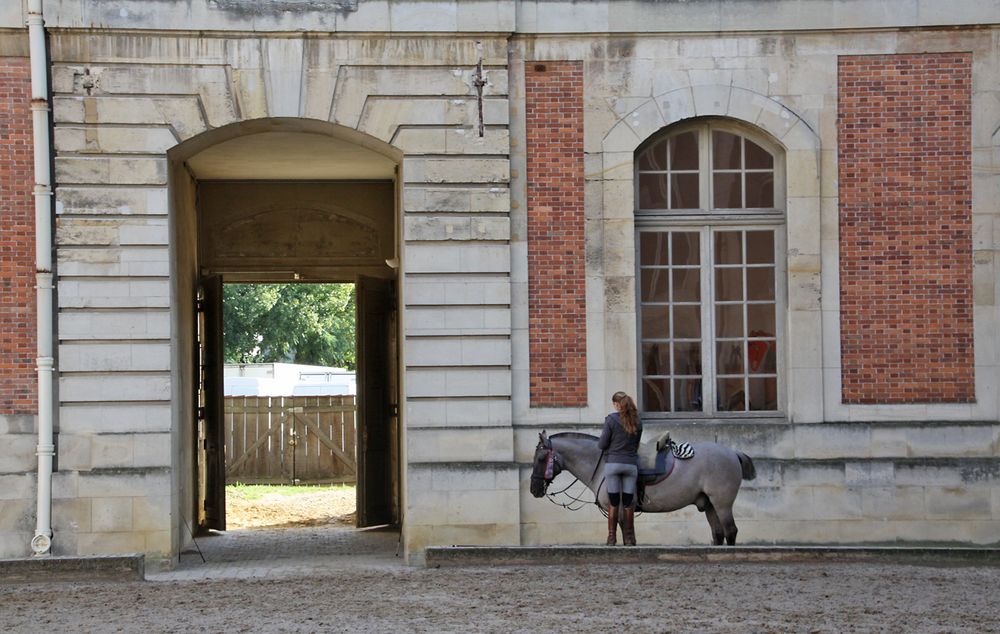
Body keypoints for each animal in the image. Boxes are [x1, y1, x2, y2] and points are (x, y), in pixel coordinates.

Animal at [528, 430, 752, 544]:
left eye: (540, 458)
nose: (534, 489)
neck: (603, 464)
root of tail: (733, 452)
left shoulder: (618, 504)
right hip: (710, 505)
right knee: (718, 534)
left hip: (722, 504)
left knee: (730, 531)